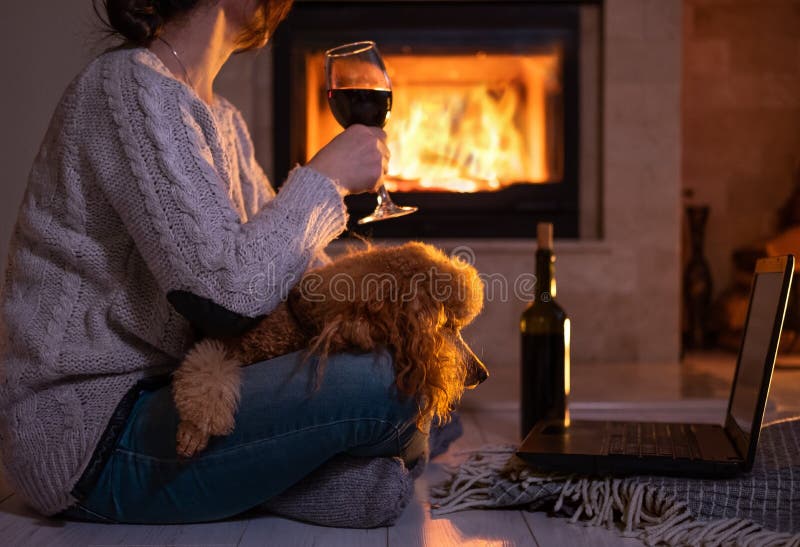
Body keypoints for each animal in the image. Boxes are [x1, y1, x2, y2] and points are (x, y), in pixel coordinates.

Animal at [173, 242, 488, 460]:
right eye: (446, 326)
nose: (482, 375)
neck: (298, 320)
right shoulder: (224, 344)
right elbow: (207, 367)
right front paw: (194, 429)